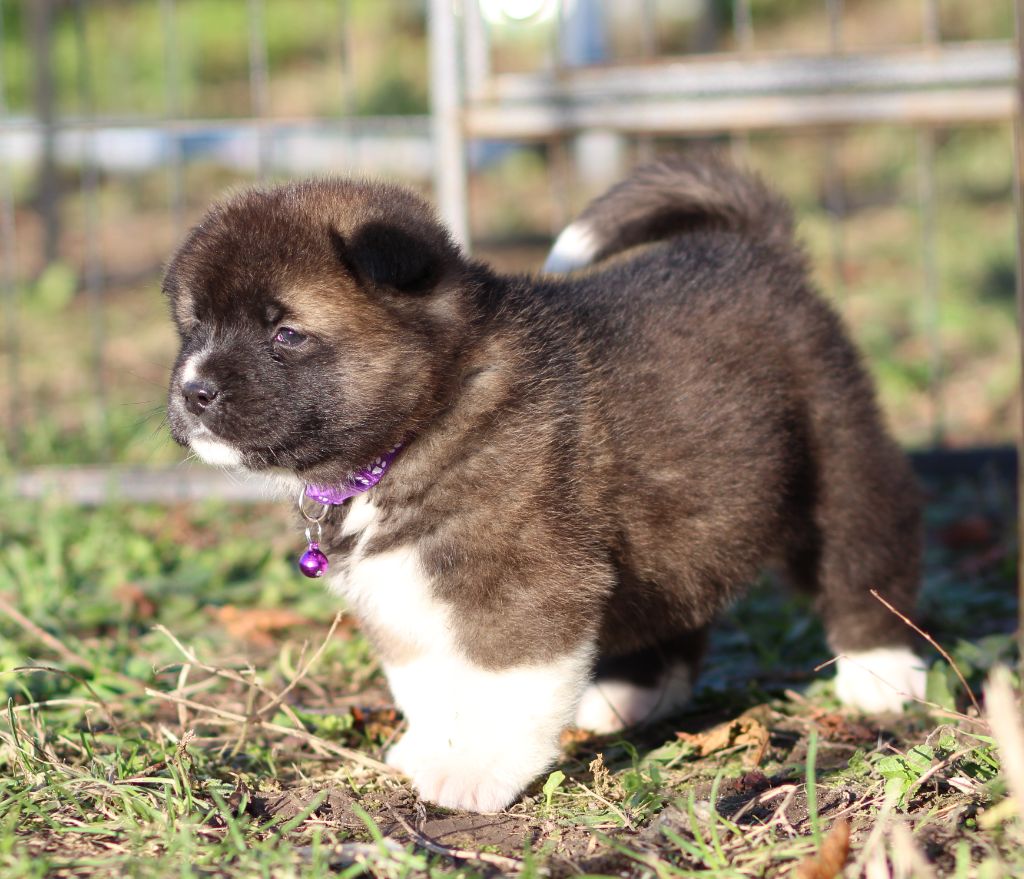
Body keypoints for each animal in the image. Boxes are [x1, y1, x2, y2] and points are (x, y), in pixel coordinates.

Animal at [163, 155, 925, 807]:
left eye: (286, 333)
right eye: (193, 327)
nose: (193, 392)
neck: (428, 416)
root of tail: (755, 249)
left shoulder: (525, 579)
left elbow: (502, 684)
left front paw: (476, 769)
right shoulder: (397, 589)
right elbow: (426, 679)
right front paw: (434, 745)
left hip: (838, 455)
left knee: (862, 560)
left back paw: (882, 673)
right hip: (682, 520)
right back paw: (628, 694)